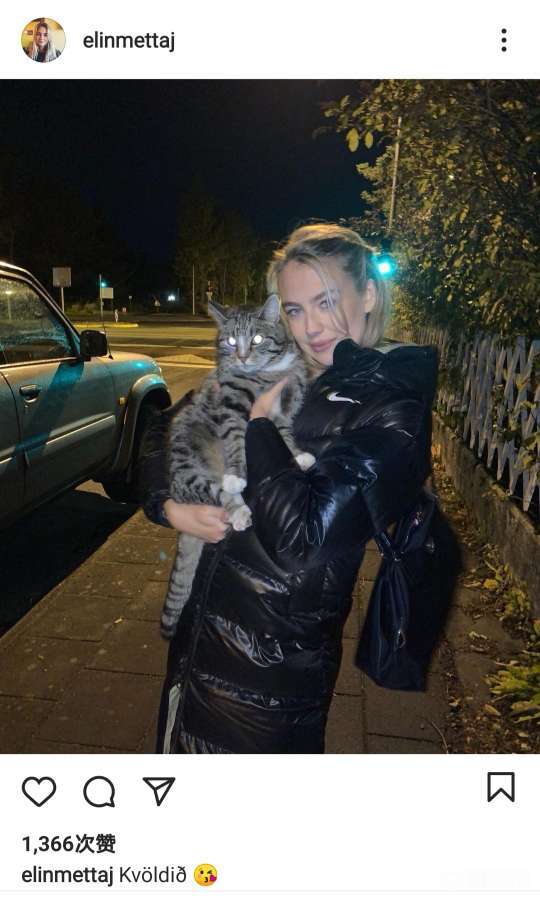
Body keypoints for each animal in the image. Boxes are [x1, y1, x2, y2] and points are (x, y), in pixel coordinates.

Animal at [160, 293, 314, 639]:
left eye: (256, 338)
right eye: (231, 340)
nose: (242, 357)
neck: (269, 372)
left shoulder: (284, 406)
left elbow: (283, 433)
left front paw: (298, 456)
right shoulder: (230, 403)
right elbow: (235, 438)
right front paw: (236, 474)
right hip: (188, 467)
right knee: (210, 489)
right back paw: (237, 505)